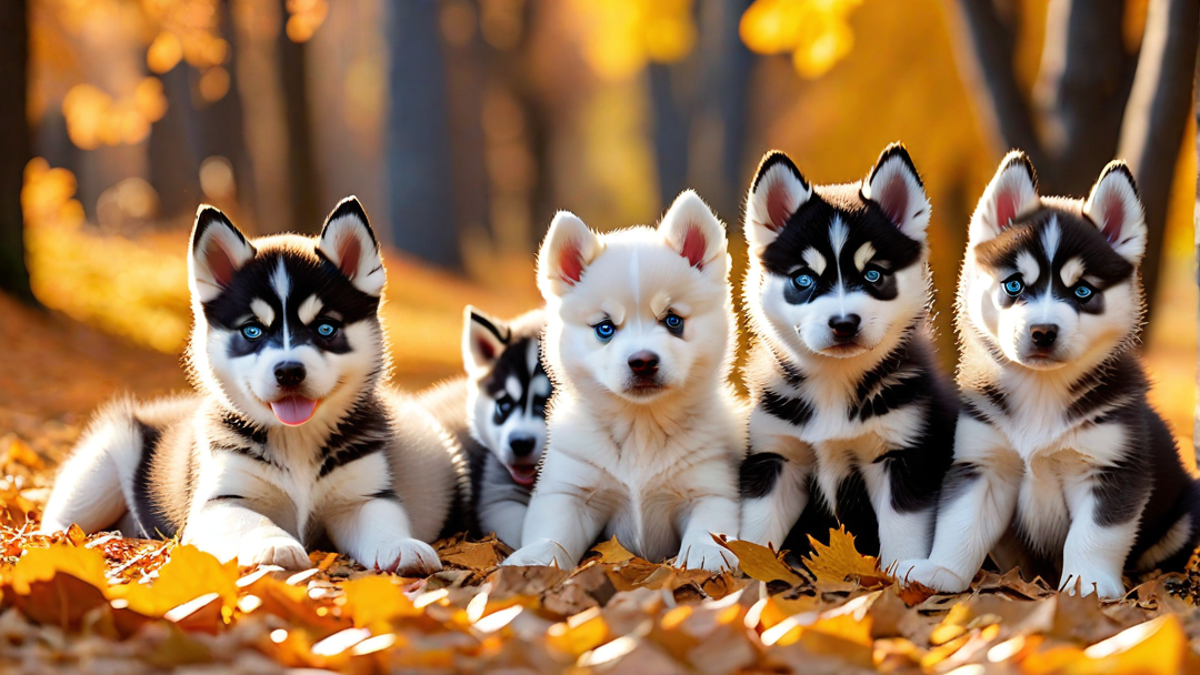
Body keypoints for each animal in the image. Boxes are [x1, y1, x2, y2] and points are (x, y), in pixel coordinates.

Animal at [501, 187, 744, 566]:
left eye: (673, 320)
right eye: (605, 328)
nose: (642, 361)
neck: (640, 428)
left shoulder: (710, 486)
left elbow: (709, 528)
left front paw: (706, 554)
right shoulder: (570, 492)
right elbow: (552, 536)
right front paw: (535, 559)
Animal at [734, 145, 960, 566]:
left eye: (873, 275)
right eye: (803, 279)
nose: (843, 323)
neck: (834, 384)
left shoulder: (901, 456)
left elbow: (902, 540)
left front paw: (900, 577)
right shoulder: (775, 455)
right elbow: (755, 537)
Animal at [902, 154, 1200, 595]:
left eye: (1083, 291)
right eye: (1013, 285)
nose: (1043, 331)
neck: (1042, 392)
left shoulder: (1110, 469)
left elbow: (1093, 537)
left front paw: (1087, 587)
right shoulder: (982, 463)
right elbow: (960, 526)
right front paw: (942, 572)